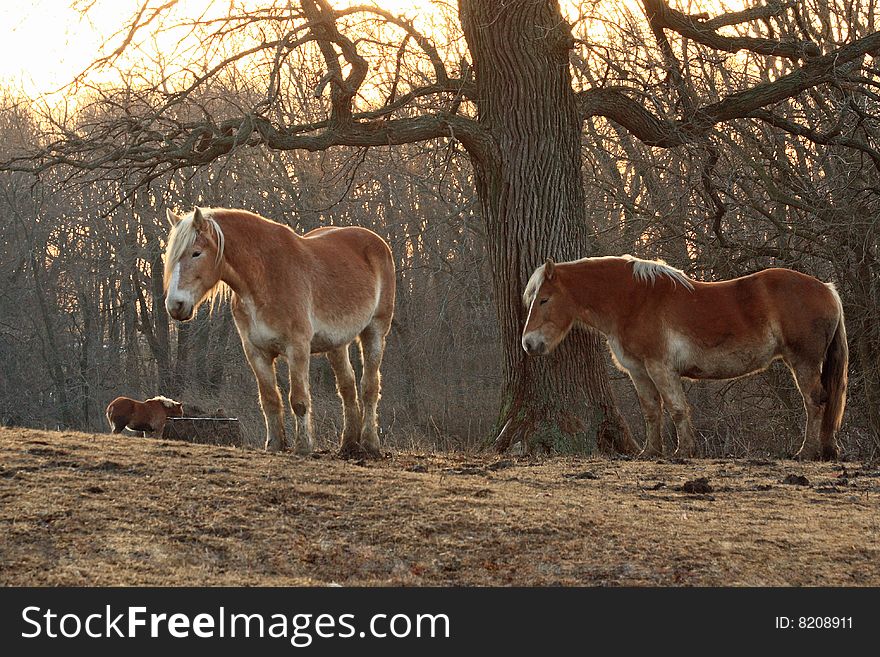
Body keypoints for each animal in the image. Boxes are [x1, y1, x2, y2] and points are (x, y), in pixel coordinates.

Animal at [164, 206, 396, 456]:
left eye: (196, 253)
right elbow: (270, 400)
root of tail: (377, 242)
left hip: (375, 330)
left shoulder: (297, 348)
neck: (266, 276)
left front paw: (303, 446)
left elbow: (299, 400)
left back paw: (370, 444)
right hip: (336, 343)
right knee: (347, 386)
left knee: (369, 387)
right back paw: (349, 445)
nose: (175, 305)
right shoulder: (256, 352)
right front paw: (275, 444)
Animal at [524, 254, 844, 458]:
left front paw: (684, 450)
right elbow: (652, 411)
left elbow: (676, 408)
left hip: (803, 361)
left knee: (815, 402)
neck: (633, 301)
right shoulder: (639, 371)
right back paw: (828, 449)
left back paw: (807, 451)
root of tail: (827, 289)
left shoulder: (660, 367)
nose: (528, 344)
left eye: (544, 299)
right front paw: (650, 452)